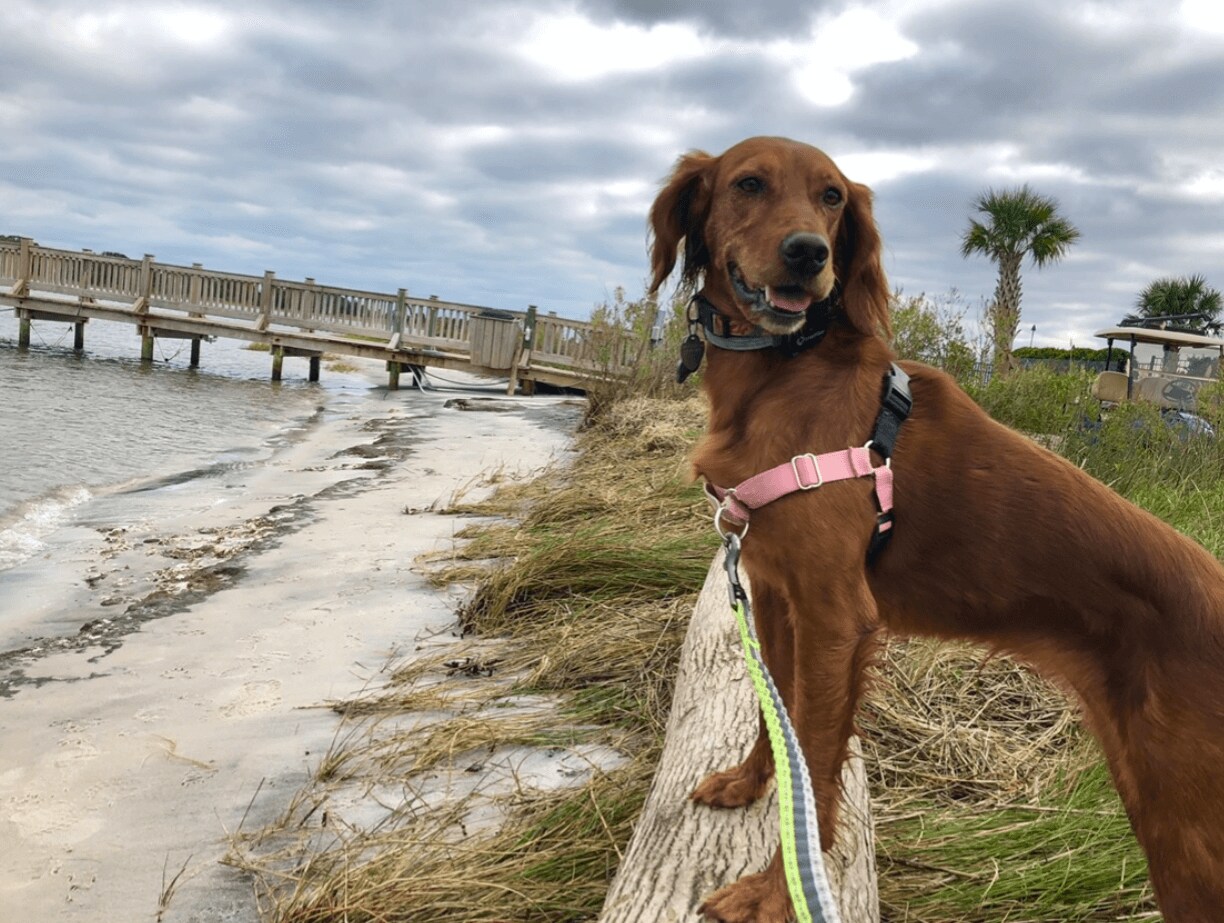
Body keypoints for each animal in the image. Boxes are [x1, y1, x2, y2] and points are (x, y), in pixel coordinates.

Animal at [656, 136, 1224, 920]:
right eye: (748, 184)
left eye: (832, 198)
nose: (808, 253)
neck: (786, 370)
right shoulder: (773, 594)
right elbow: (780, 720)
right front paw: (749, 784)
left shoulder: (837, 616)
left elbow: (818, 759)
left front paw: (778, 891)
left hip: (1186, 826)